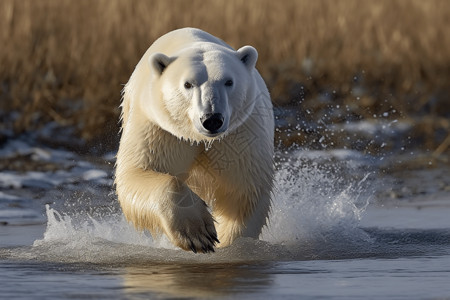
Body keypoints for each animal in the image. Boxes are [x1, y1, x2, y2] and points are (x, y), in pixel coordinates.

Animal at [114, 28, 272, 253]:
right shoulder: (159, 128)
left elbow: (243, 189)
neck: (198, 137)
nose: (212, 119)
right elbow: (136, 172)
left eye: (229, 81)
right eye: (188, 84)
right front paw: (197, 233)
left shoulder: (239, 134)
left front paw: (229, 242)